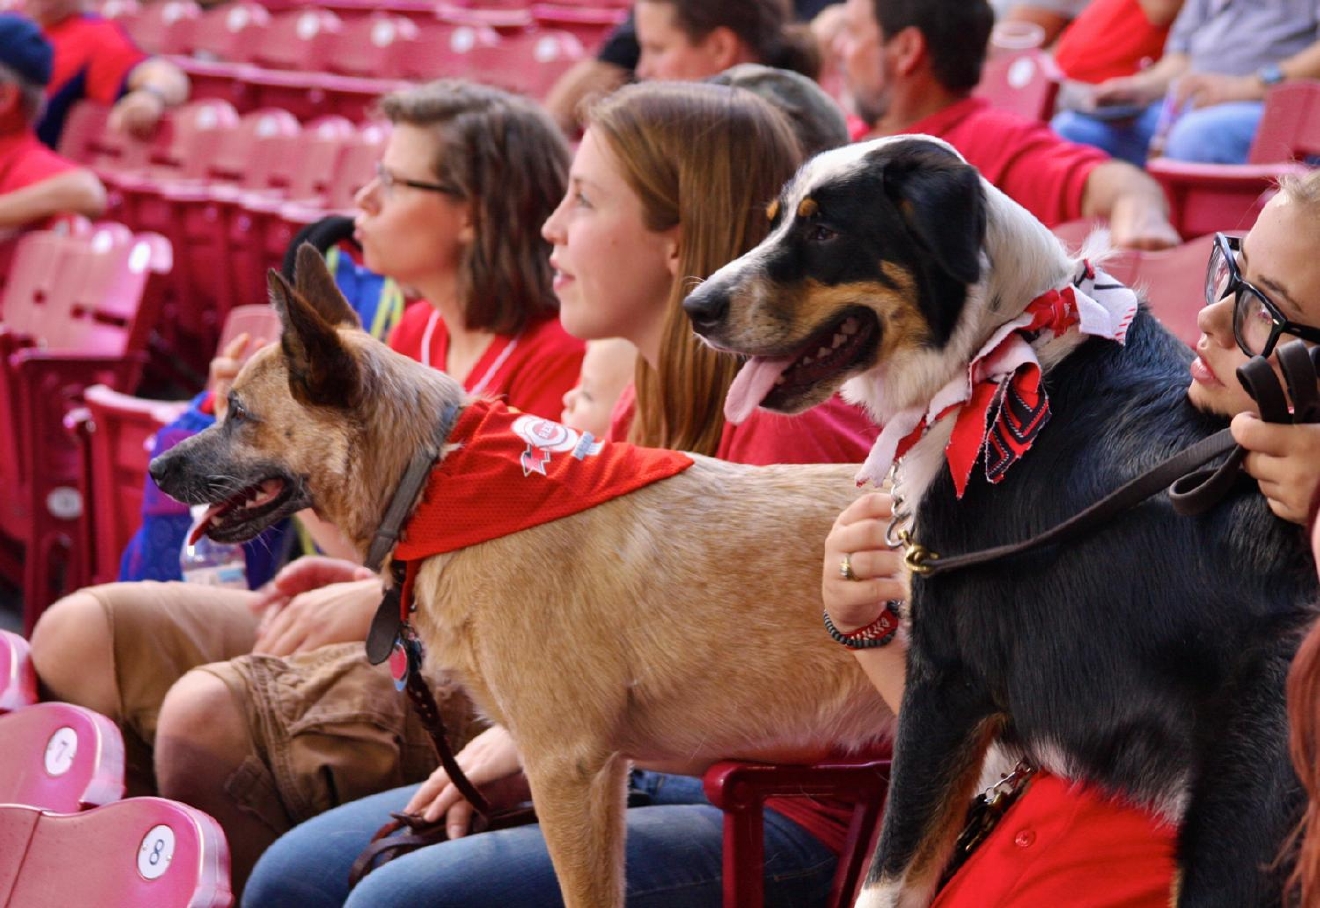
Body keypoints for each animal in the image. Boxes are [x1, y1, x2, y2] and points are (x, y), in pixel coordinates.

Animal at [686, 136, 1314, 908]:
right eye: (775, 221)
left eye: (826, 231)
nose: (696, 307)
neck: (993, 353)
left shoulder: (947, 680)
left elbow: (887, 875)